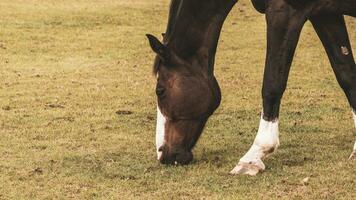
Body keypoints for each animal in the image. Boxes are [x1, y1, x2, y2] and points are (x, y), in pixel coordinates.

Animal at [145, 0, 356, 175]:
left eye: (160, 90)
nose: (163, 154)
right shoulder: (325, 14)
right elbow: (346, 74)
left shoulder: (284, 12)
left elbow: (272, 84)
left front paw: (253, 156)